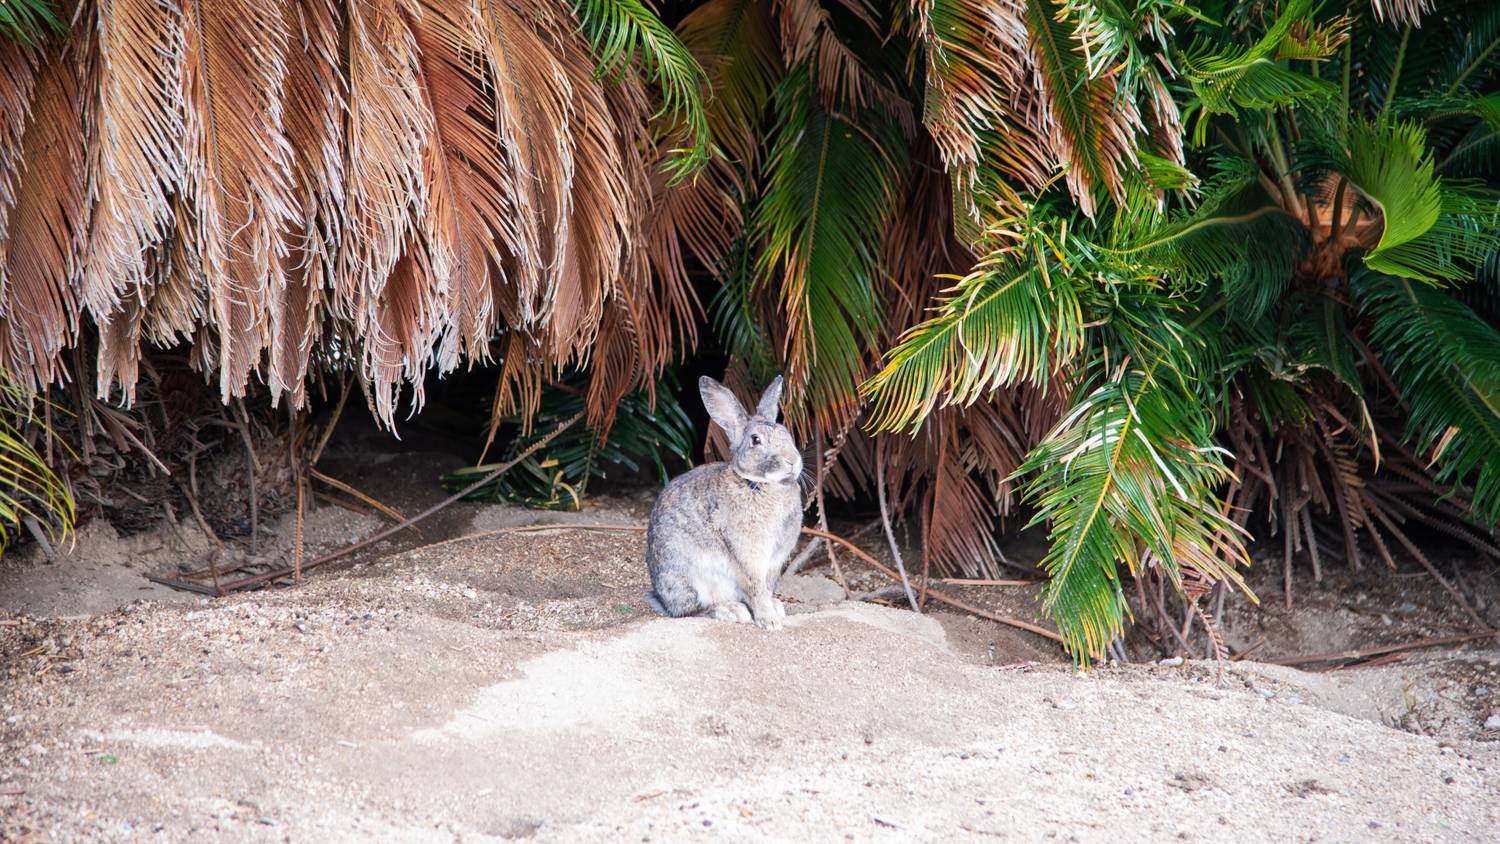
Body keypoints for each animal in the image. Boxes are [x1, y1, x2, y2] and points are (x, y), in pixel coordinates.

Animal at [648, 374, 810, 626]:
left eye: (786, 433)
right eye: (756, 440)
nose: (792, 461)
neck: (757, 484)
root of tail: (661, 599)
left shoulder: (774, 562)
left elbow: (767, 587)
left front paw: (774, 610)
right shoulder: (748, 557)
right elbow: (756, 589)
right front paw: (769, 621)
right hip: (689, 578)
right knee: (692, 610)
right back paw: (731, 611)